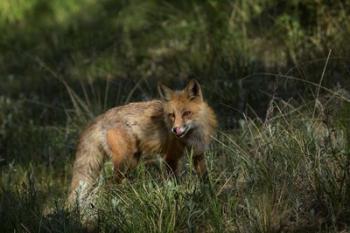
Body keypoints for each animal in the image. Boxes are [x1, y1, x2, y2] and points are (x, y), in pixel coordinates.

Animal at [67, 79, 217, 206]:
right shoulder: (170, 158)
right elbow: (175, 184)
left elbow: (205, 179)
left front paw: (210, 196)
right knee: (106, 186)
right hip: (124, 162)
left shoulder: (198, 154)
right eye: (172, 115)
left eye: (186, 113)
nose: (175, 130)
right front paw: (177, 200)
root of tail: (101, 117)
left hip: (132, 161)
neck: (192, 136)